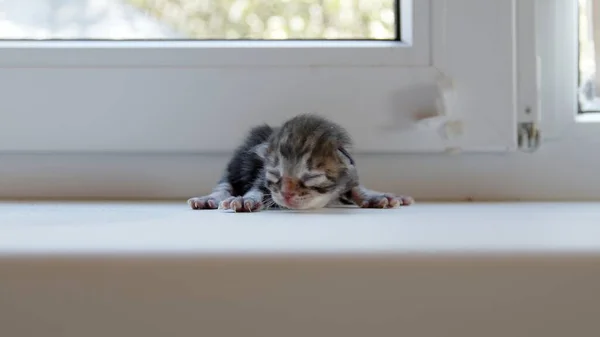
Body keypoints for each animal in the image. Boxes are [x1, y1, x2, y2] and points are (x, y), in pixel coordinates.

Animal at [188, 114, 412, 211]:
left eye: (311, 176)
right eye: (275, 175)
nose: (287, 193)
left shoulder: (349, 172)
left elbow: (355, 186)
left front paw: (373, 196)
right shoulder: (262, 173)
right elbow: (257, 187)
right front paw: (247, 199)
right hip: (237, 163)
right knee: (225, 184)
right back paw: (209, 199)